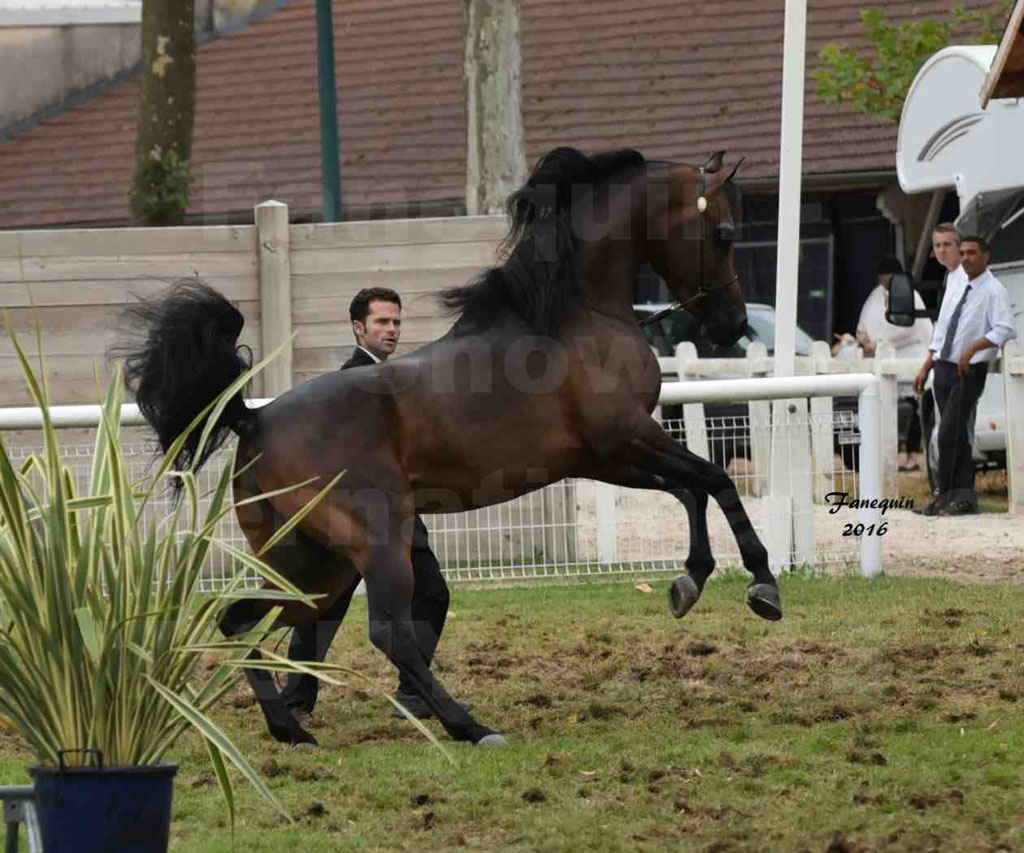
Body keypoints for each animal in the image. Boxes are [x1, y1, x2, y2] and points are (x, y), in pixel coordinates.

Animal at [125, 146, 782, 745]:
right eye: (724, 233)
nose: (732, 324)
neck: (573, 320)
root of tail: (254, 421)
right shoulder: (626, 439)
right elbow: (714, 480)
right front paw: (760, 586)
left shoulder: (607, 458)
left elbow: (692, 490)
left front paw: (689, 582)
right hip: (374, 544)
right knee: (387, 632)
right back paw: (469, 726)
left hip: (310, 560)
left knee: (242, 623)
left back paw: (291, 729)